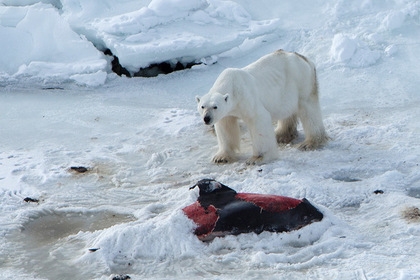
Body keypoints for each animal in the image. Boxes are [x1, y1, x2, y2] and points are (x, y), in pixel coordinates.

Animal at [195, 49, 330, 164]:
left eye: (215, 107)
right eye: (202, 106)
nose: (207, 118)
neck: (231, 85)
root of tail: (304, 58)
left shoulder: (246, 98)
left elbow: (258, 120)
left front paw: (257, 158)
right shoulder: (227, 112)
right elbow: (225, 126)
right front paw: (221, 157)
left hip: (301, 82)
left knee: (309, 110)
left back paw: (310, 142)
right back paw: (281, 134)